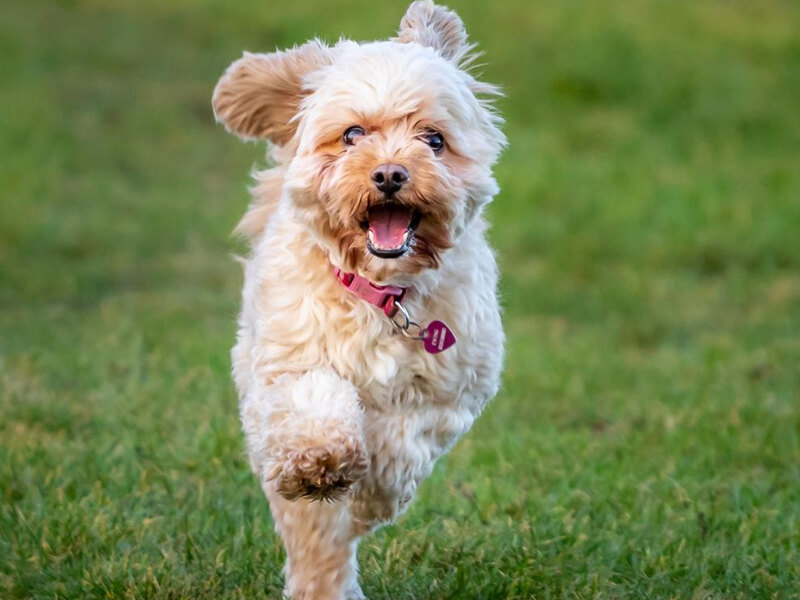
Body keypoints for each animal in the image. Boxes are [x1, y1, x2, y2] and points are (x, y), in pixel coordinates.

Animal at [212, 2, 506, 596]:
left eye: (433, 139)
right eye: (351, 134)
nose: (390, 173)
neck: (381, 292)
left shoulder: (454, 391)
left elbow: (400, 445)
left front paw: (370, 490)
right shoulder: (285, 371)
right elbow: (314, 405)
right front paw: (322, 461)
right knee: (313, 536)